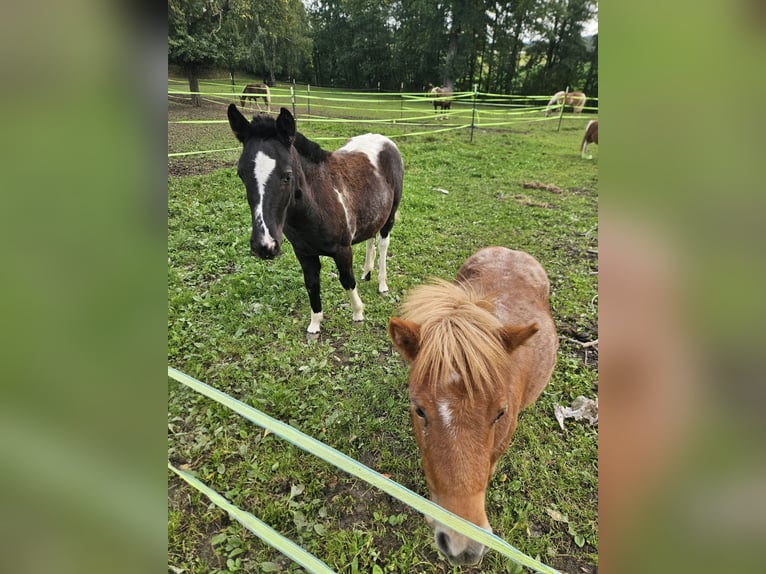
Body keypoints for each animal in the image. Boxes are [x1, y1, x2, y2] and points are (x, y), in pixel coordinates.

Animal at [227, 105, 403, 334]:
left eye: (287, 175)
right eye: (241, 175)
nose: (264, 246)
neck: (315, 205)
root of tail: (385, 140)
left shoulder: (342, 249)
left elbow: (347, 280)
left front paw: (358, 313)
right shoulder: (303, 253)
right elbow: (311, 284)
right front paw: (315, 324)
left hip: (390, 215)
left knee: (383, 243)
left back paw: (382, 284)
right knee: (370, 238)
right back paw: (367, 273)